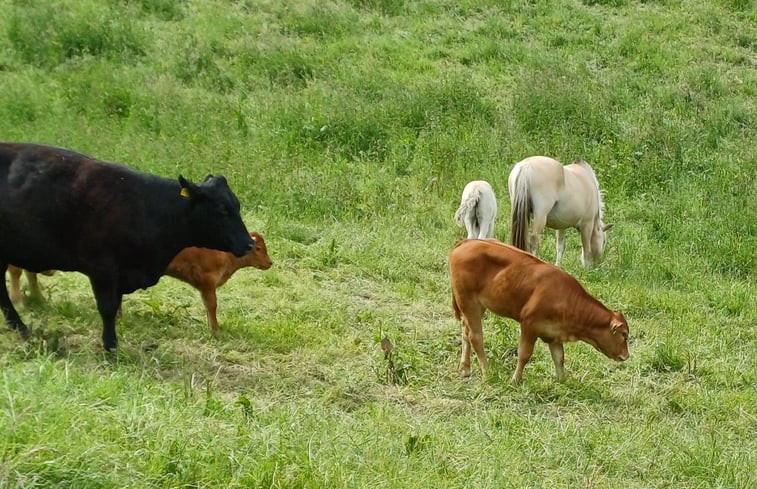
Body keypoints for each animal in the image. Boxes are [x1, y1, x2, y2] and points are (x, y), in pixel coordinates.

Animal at [0, 143, 254, 348]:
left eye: (237, 206)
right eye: (222, 210)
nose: (249, 244)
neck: (146, 207)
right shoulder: (101, 267)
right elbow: (107, 307)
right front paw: (110, 346)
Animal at [448, 238, 628, 384]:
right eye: (623, 334)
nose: (626, 356)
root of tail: (468, 242)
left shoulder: (553, 333)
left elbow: (559, 357)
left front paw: (563, 382)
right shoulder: (529, 324)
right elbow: (524, 354)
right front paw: (515, 380)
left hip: (477, 305)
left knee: (465, 331)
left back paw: (465, 369)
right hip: (468, 301)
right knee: (475, 336)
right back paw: (487, 371)